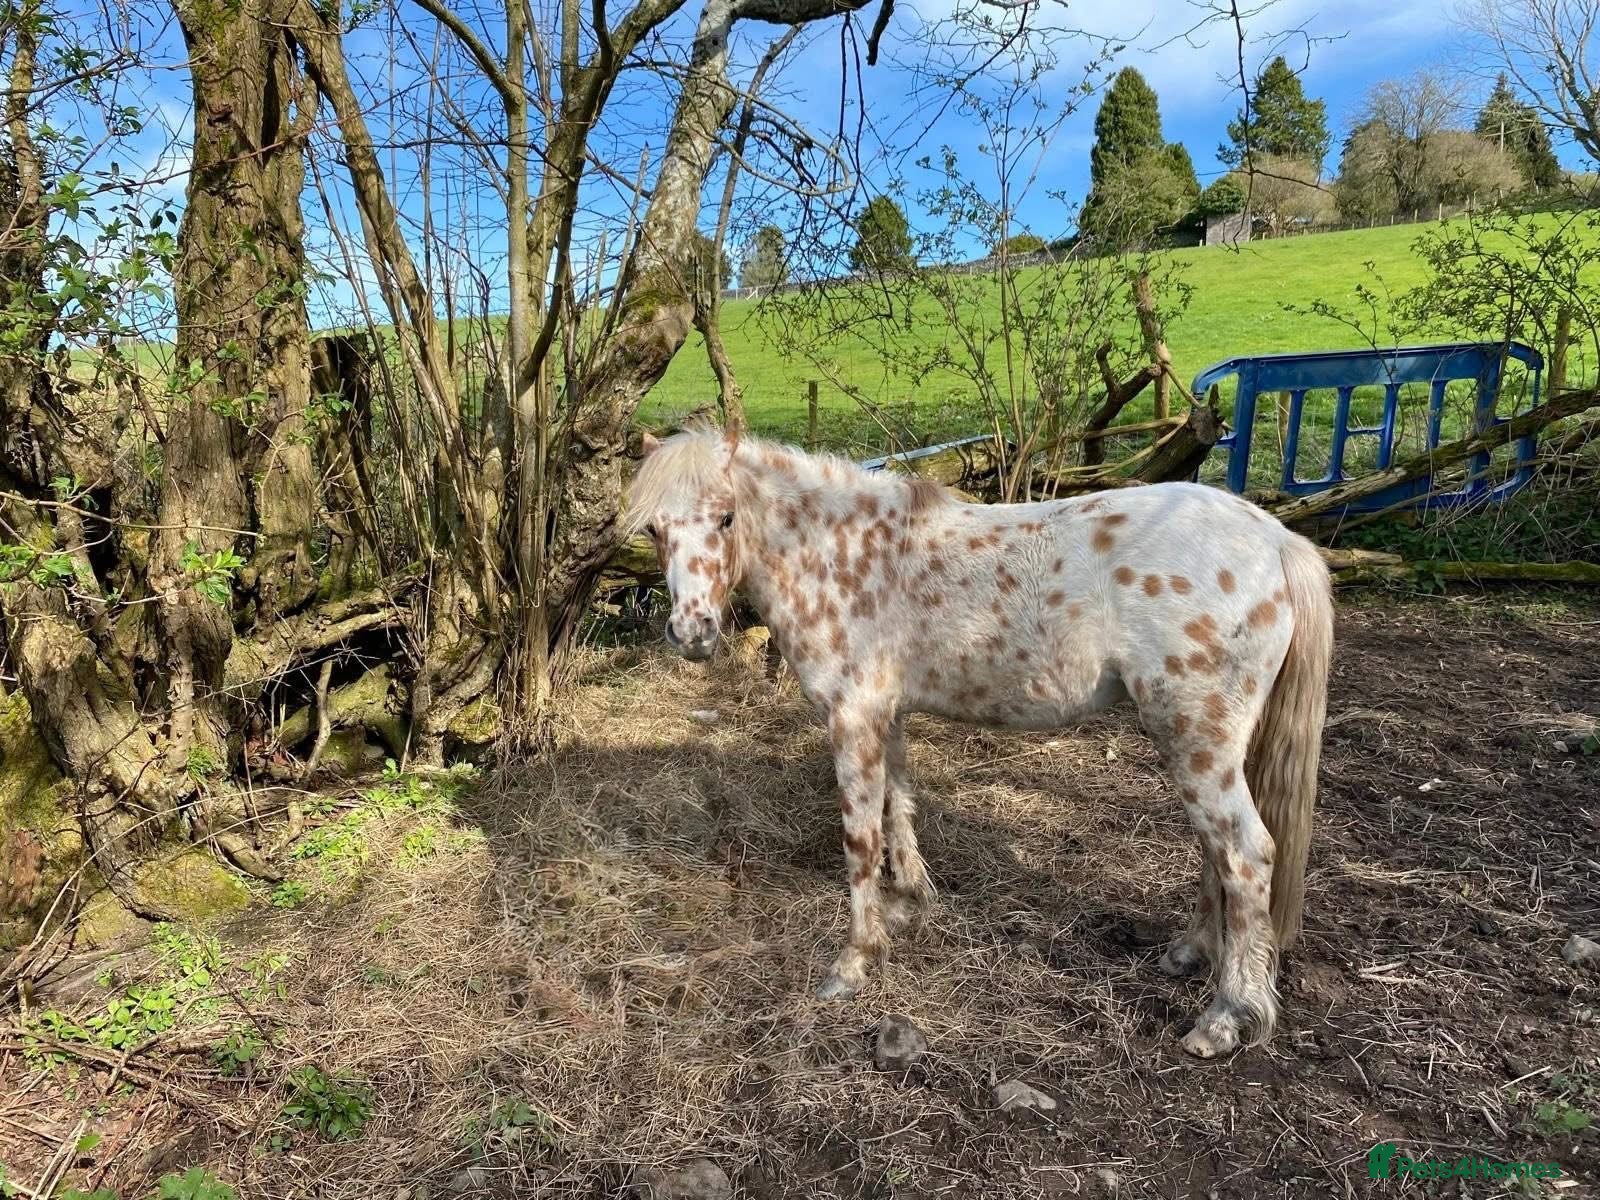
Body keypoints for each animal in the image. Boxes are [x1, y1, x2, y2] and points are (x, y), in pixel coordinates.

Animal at [624, 426, 1333, 1058]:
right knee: (1218, 853)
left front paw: (853, 962)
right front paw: (913, 899)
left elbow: (860, 840)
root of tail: (1273, 539)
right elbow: (898, 806)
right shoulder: (886, 715)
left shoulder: (851, 717)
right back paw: (1190, 954)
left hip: (1196, 740)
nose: (692, 632)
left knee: (1245, 854)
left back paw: (1224, 1017)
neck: (840, 554)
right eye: (654, 529)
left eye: (725, 517)